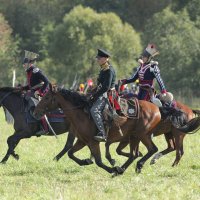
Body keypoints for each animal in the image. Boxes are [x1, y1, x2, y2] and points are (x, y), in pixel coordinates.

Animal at [32, 86, 198, 175]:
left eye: (46, 97)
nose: (35, 112)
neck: (82, 112)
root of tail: (158, 108)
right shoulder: (82, 140)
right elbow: (71, 153)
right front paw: (86, 161)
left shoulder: (94, 142)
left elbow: (99, 160)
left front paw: (111, 167)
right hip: (145, 136)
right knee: (145, 152)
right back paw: (129, 167)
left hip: (151, 135)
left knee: (167, 150)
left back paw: (139, 165)